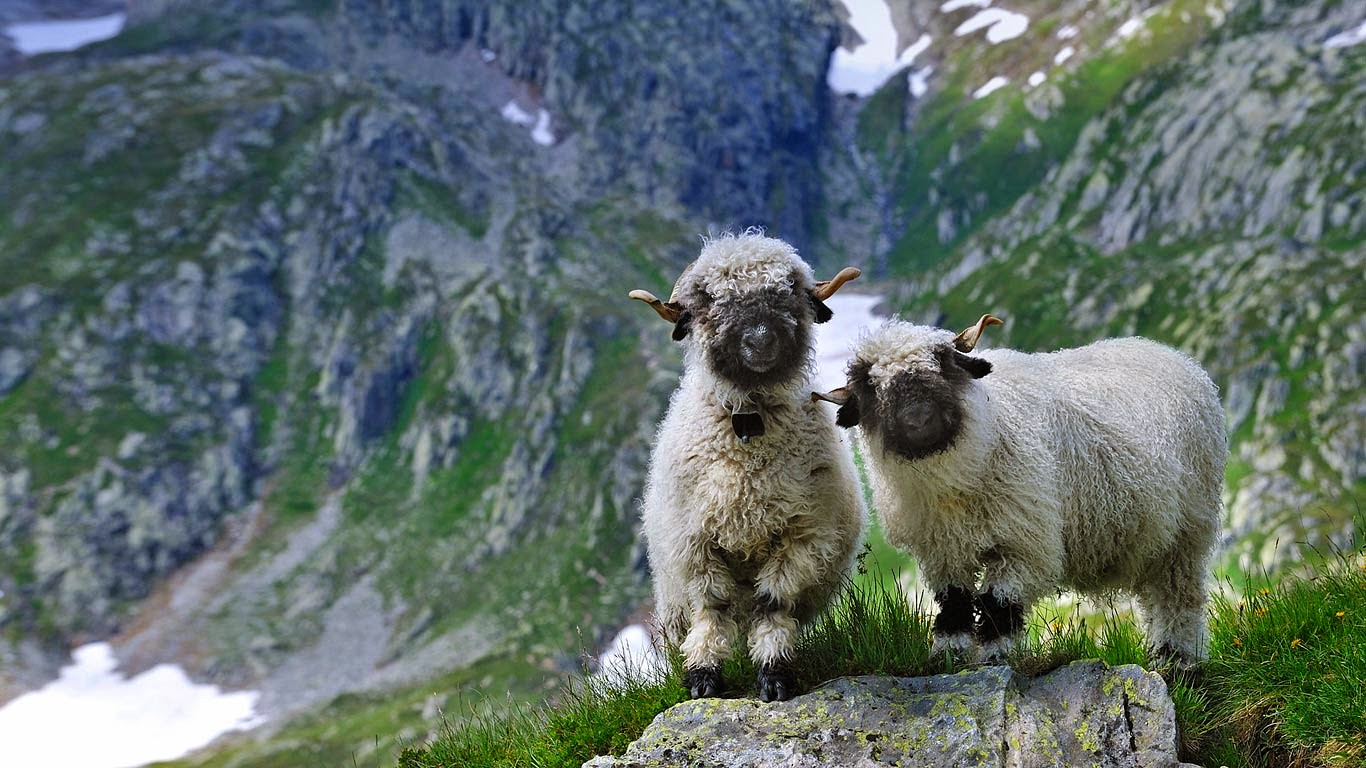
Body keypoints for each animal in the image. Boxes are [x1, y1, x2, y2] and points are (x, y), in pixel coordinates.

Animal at [628, 233, 866, 702]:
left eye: (788, 290)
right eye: (708, 300)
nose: (760, 339)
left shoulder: (801, 536)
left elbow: (772, 604)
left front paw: (774, 673)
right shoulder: (695, 543)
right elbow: (711, 607)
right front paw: (702, 675)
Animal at [814, 315, 1224, 663]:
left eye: (942, 363)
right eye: (871, 386)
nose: (918, 420)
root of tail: (1168, 353)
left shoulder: (1025, 539)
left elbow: (998, 602)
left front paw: (995, 656)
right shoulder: (940, 548)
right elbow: (954, 600)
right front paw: (948, 653)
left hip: (1189, 529)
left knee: (1179, 596)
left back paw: (1179, 657)